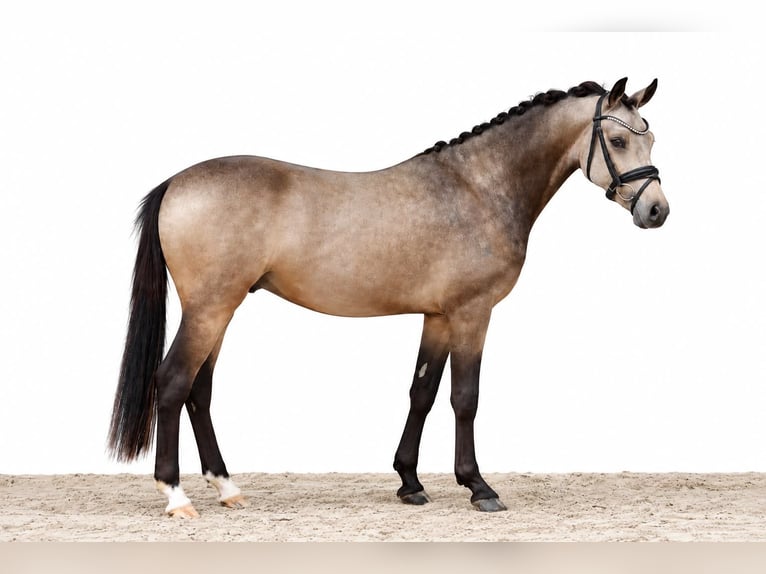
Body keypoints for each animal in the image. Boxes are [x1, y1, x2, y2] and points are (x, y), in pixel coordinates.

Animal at [108, 77, 669, 517]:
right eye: (617, 139)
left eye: (651, 138)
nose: (657, 210)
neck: (477, 187)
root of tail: (176, 182)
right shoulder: (472, 314)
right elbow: (465, 398)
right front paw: (479, 487)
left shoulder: (437, 317)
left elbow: (422, 393)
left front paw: (410, 483)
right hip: (210, 308)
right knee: (173, 382)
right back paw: (176, 496)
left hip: (220, 311)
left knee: (199, 392)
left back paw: (227, 488)